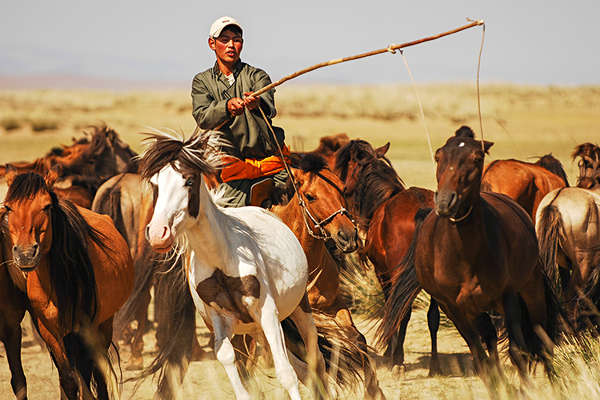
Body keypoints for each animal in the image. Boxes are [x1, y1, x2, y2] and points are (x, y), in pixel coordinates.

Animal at [2, 173, 134, 400]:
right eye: (8, 207)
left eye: (46, 206)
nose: (26, 254)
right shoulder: (50, 332)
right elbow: (69, 380)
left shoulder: (86, 329)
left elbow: (88, 377)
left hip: (104, 325)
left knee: (98, 374)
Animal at [140, 131, 326, 400]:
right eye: (155, 184)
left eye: (189, 180)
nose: (158, 233)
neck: (220, 259)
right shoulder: (220, 318)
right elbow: (227, 357)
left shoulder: (267, 312)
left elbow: (286, 372)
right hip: (253, 328)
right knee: (301, 366)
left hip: (299, 307)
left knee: (314, 358)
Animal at [332, 138, 436, 376]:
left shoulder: (384, 274)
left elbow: (391, 310)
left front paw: (391, 354)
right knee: (432, 315)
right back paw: (434, 364)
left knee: (402, 312)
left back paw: (397, 360)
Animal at [382, 135, 560, 388]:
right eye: (438, 155)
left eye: (477, 157)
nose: (445, 201)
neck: (465, 256)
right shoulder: (454, 307)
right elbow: (480, 355)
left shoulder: (508, 297)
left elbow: (518, 351)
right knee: (490, 339)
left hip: (530, 291)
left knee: (541, 335)